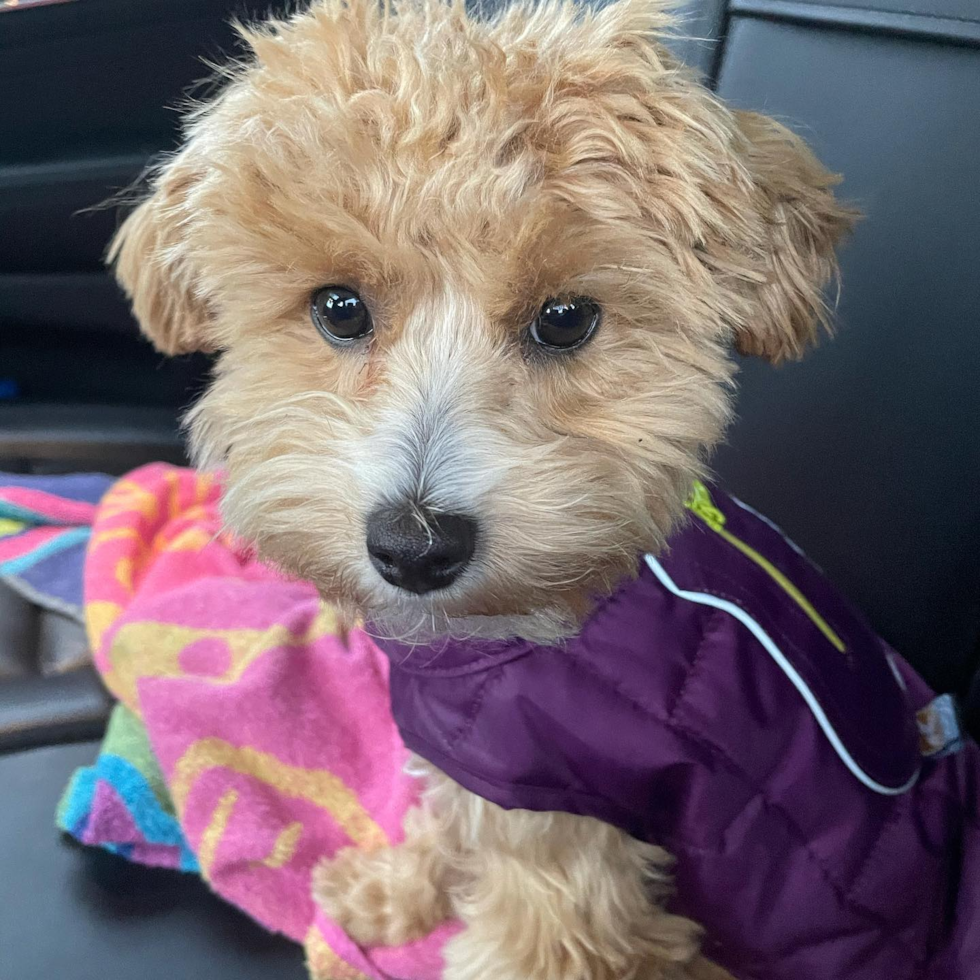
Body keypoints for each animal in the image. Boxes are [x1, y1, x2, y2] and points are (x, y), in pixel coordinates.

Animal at [111, 3, 852, 976]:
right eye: (339, 308)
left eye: (566, 318)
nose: (414, 546)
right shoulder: (474, 767)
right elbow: (441, 813)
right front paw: (395, 891)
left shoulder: (565, 848)